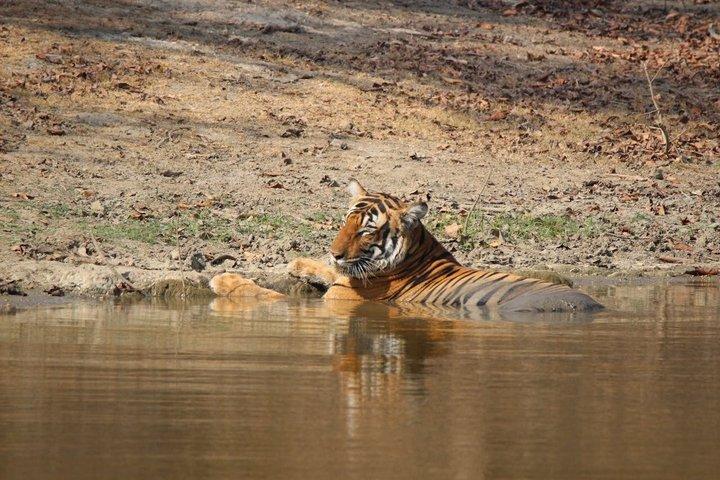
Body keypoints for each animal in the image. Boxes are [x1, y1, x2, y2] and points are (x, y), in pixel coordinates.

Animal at [210, 180, 603, 312]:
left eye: (367, 231)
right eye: (346, 222)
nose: (335, 252)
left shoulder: (341, 299)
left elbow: (271, 298)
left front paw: (224, 280)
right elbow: (328, 272)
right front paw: (300, 263)